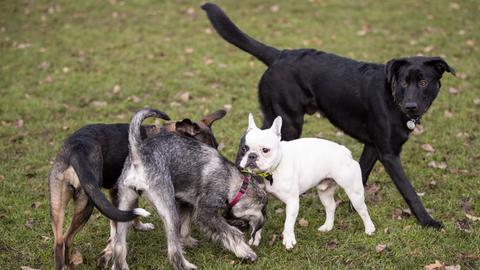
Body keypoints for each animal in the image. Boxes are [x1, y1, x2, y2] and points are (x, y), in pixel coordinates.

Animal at [111, 108, 268, 270]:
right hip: (169, 212)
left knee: (119, 245)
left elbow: (186, 227)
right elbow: (231, 233)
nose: (245, 226)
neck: (235, 183)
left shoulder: (186, 202)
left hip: (124, 205)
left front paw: (188, 241)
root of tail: (138, 156)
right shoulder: (205, 212)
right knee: (173, 250)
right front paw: (246, 252)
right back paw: (186, 265)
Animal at [203, 4, 458, 228]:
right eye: (404, 82)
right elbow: (409, 191)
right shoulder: (389, 154)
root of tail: (280, 55)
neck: (392, 97)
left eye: (423, 82)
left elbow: (361, 174)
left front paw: (353, 207)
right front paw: (427, 221)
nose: (411, 106)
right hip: (288, 121)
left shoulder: (372, 146)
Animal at [236, 113, 376, 249]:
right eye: (244, 148)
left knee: (363, 210)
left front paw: (288, 240)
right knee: (330, 206)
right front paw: (255, 238)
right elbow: (258, 222)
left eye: (265, 150)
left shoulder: (292, 201)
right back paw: (327, 227)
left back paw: (370, 229)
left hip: (354, 192)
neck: (270, 173)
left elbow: (288, 223)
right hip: (324, 192)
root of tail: (345, 151)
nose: (252, 156)